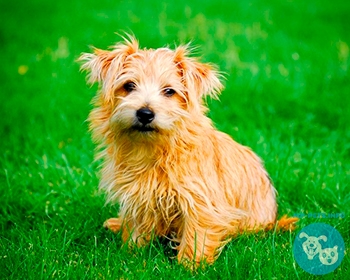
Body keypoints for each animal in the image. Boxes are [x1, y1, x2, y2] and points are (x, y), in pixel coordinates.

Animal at [79, 34, 298, 266]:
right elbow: (136, 230)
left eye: (169, 91)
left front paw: (189, 266)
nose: (145, 113)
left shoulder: (202, 202)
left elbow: (197, 235)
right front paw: (131, 255)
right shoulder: (138, 196)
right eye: (129, 86)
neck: (153, 150)